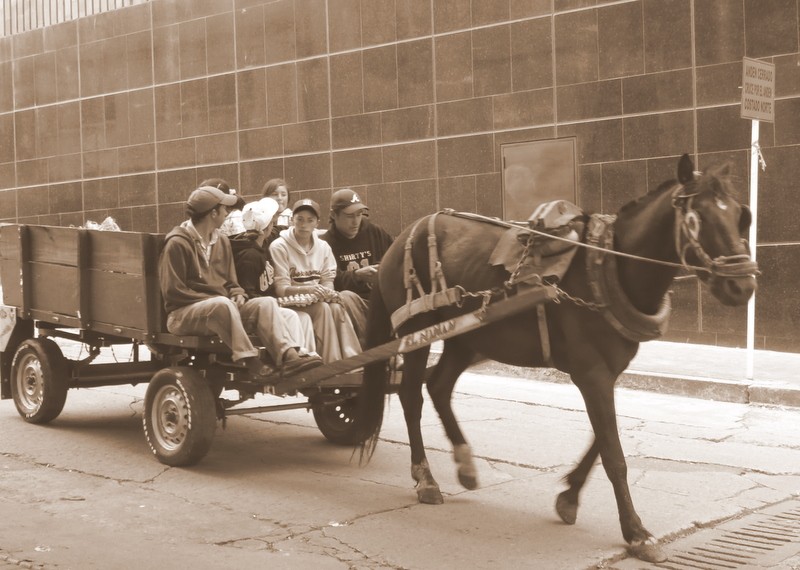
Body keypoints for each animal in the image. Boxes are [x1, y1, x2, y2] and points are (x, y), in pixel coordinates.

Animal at [354, 153, 760, 560]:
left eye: (743, 215)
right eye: (697, 217)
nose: (742, 285)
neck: (609, 268)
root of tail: (401, 238)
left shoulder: (607, 373)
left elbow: (602, 440)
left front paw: (570, 496)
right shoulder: (592, 374)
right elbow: (614, 455)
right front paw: (636, 532)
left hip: (466, 338)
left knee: (438, 387)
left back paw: (465, 465)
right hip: (416, 331)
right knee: (412, 397)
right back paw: (425, 479)